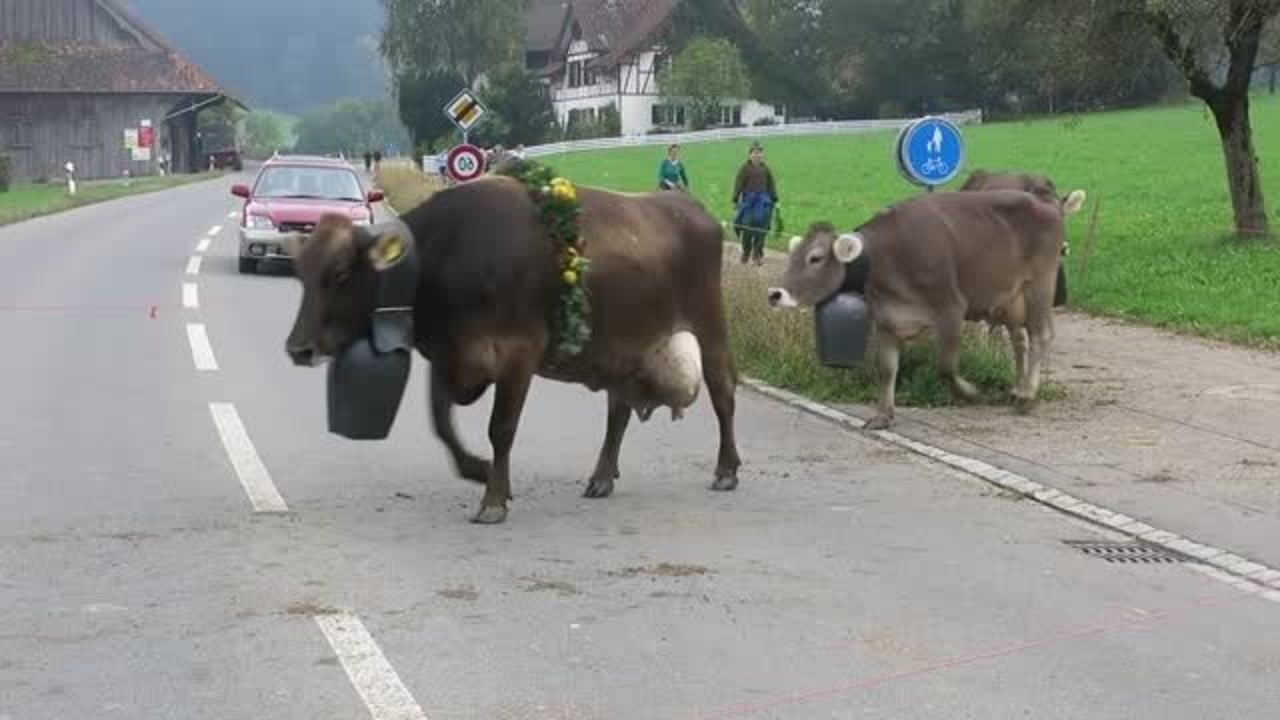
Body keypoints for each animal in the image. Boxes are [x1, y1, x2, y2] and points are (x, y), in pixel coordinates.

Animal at [280, 158, 742, 520]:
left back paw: (726, 470)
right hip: (623, 345)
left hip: (710, 325)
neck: (452, 254)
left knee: (722, 393)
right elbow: (441, 424)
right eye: (301, 273)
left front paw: (493, 500)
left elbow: (501, 427)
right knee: (619, 410)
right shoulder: (449, 354)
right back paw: (601, 477)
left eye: (340, 274)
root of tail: (686, 204)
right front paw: (480, 471)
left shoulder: (518, 353)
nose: (298, 348)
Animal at [768, 188, 1080, 427]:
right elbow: (887, 369)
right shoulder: (886, 318)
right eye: (793, 256)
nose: (775, 294)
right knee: (1019, 341)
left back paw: (1027, 397)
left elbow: (945, 366)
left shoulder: (951, 308)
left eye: (815, 258)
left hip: (1039, 284)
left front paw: (970, 393)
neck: (885, 260)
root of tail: (1049, 202)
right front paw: (883, 416)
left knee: (1041, 334)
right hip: (1010, 300)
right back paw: (1017, 390)